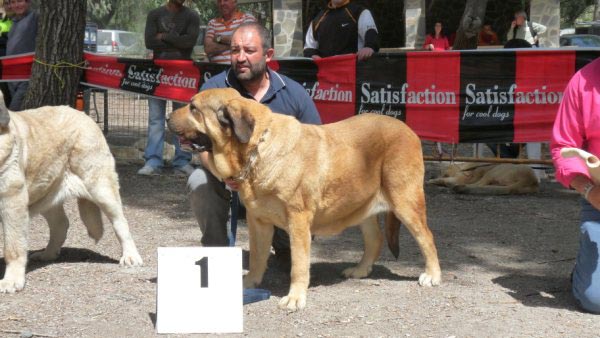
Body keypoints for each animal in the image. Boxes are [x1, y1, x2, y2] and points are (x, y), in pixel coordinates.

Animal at [0, 95, 143, 294]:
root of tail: (83, 115)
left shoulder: (11, 201)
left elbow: (13, 247)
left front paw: (12, 280)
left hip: (101, 189)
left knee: (120, 223)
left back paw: (130, 256)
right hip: (46, 192)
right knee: (60, 224)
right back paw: (48, 254)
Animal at [168, 88, 440, 310]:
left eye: (193, 108)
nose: (169, 119)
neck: (257, 149)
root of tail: (408, 130)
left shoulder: (297, 220)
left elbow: (298, 264)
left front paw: (295, 297)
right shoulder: (259, 222)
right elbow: (257, 257)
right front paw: (249, 284)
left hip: (405, 201)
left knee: (426, 237)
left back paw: (432, 275)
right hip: (362, 206)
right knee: (376, 239)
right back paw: (360, 270)